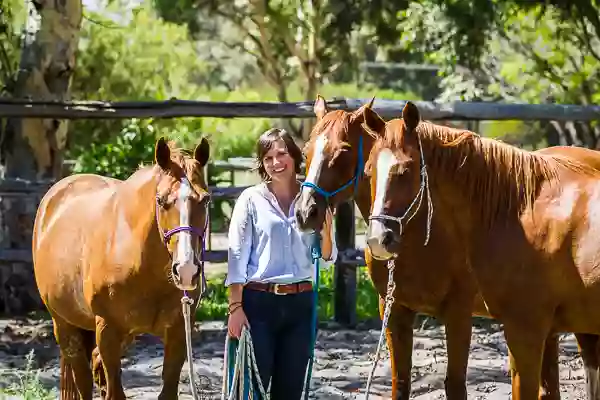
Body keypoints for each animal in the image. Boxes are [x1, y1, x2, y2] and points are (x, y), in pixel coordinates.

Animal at [33, 136, 211, 398]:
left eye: (206, 199)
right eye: (161, 200)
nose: (186, 269)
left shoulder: (178, 330)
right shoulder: (107, 330)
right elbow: (115, 392)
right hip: (65, 326)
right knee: (83, 379)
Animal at [296, 95, 600, 398]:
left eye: (343, 152)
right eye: (306, 152)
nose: (305, 212)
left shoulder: (462, 313)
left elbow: (455, 383)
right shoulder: (394, 309)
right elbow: (401, 382)